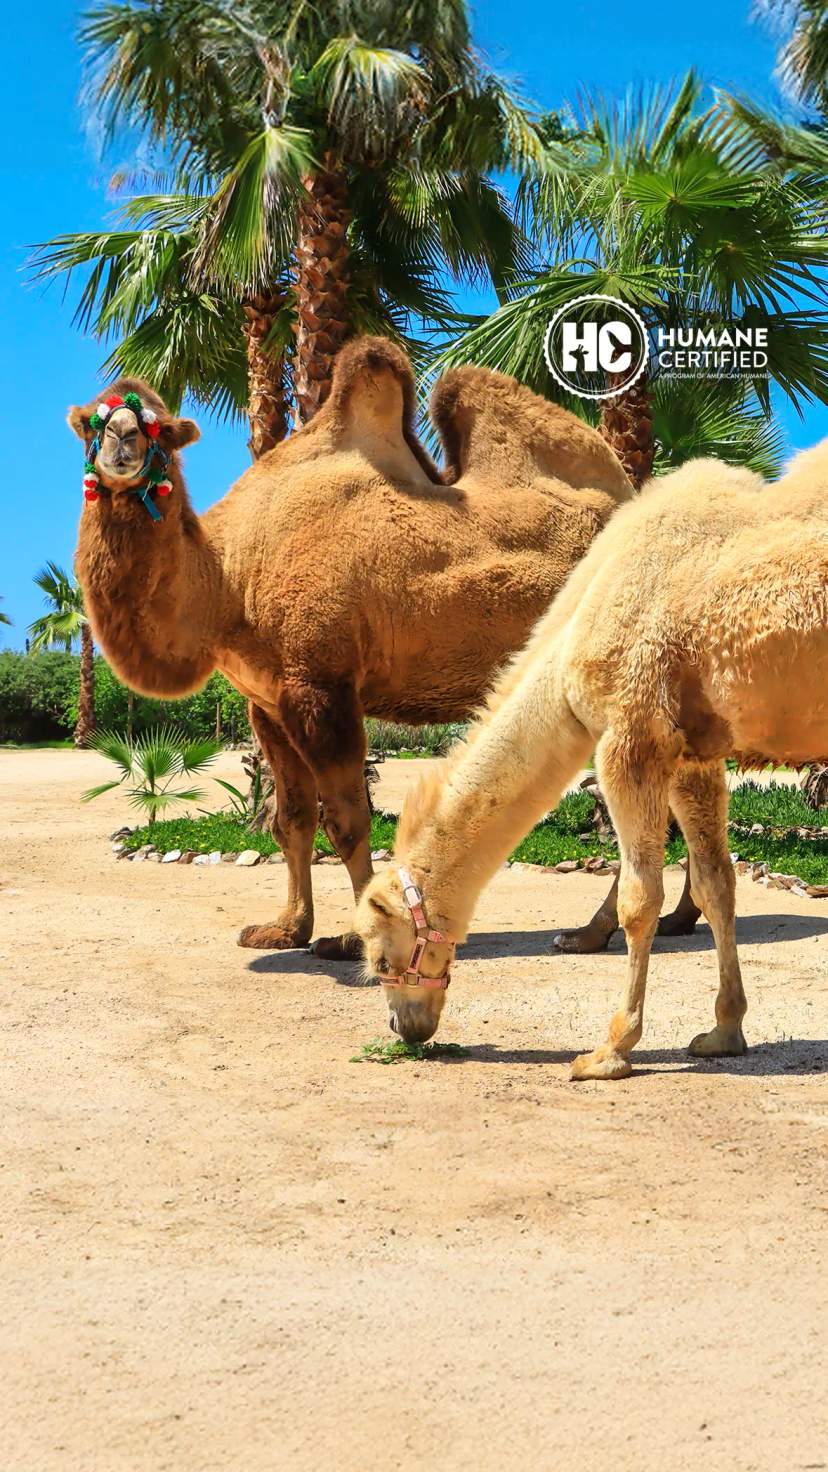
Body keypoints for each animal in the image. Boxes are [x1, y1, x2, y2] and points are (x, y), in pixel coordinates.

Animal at [70, 335, 671, 958]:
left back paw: (597, 931)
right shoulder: (267, 703)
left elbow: (348, 821)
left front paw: (354, 938)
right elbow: (292, 820)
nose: (122, 440)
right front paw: (284, 928)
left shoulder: (321, 686)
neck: (231, 578)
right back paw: (648, 924)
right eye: (91, 422)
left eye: (159, 429)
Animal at [355, 447, 828, 1079]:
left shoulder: (632, 737)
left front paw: (610, 1051)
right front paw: (724, 1032)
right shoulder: (694, 755)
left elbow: (639, 899)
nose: (404, 1028)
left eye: (382, 961)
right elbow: (715, 884)